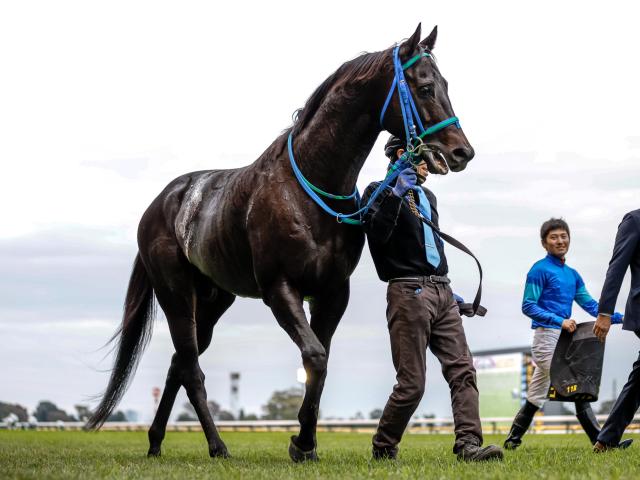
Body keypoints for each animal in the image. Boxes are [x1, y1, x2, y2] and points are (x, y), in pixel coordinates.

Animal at [86, 24, 476, 460]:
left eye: (445, 83)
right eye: (425, 87)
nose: (462, 152)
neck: (309, 188)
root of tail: (160, 203)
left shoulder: (332, 292)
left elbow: (319, 363)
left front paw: (306, 443)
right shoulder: (280, 289)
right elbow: (315, 357)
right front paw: (301, 442)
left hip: (214, 299)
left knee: (178, 364)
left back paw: (155, 441)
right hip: (176, 294)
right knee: (190, 367)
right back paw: (217, 446)